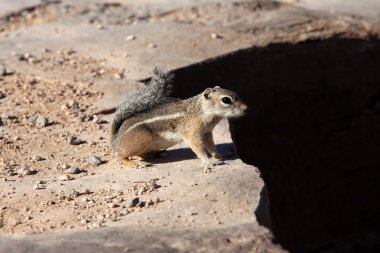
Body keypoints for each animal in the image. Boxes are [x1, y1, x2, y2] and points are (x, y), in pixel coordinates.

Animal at [110, 67, 246, 172]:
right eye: (226, 100)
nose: (246, 109)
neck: (202, 110)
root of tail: (115, 140)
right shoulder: (192, 132)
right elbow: (198, 148)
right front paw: (208, 162)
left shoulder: (207, 132)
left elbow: (211, 146)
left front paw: (220, 155)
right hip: (143, 138)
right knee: (120, 157)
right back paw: (135, 163)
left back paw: (156, 153)